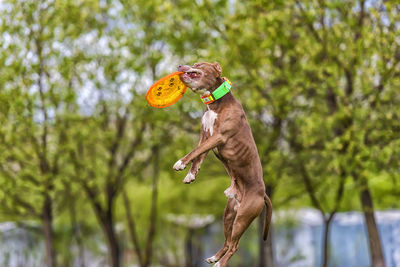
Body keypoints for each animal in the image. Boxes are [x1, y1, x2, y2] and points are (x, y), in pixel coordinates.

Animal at [172, 61, 272, 266]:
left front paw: (180, 163)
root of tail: (263, 194)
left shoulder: (218, 137)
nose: (180, 65)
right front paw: (191, 174)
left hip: (243, 217)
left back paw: (220, 262)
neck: (213, 104)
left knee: (235, 245)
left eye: (198, 64)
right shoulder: (205, 136)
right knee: (228, 242)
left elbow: (194, 152)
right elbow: (198, 156)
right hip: (229, 214)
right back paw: (215, 257)